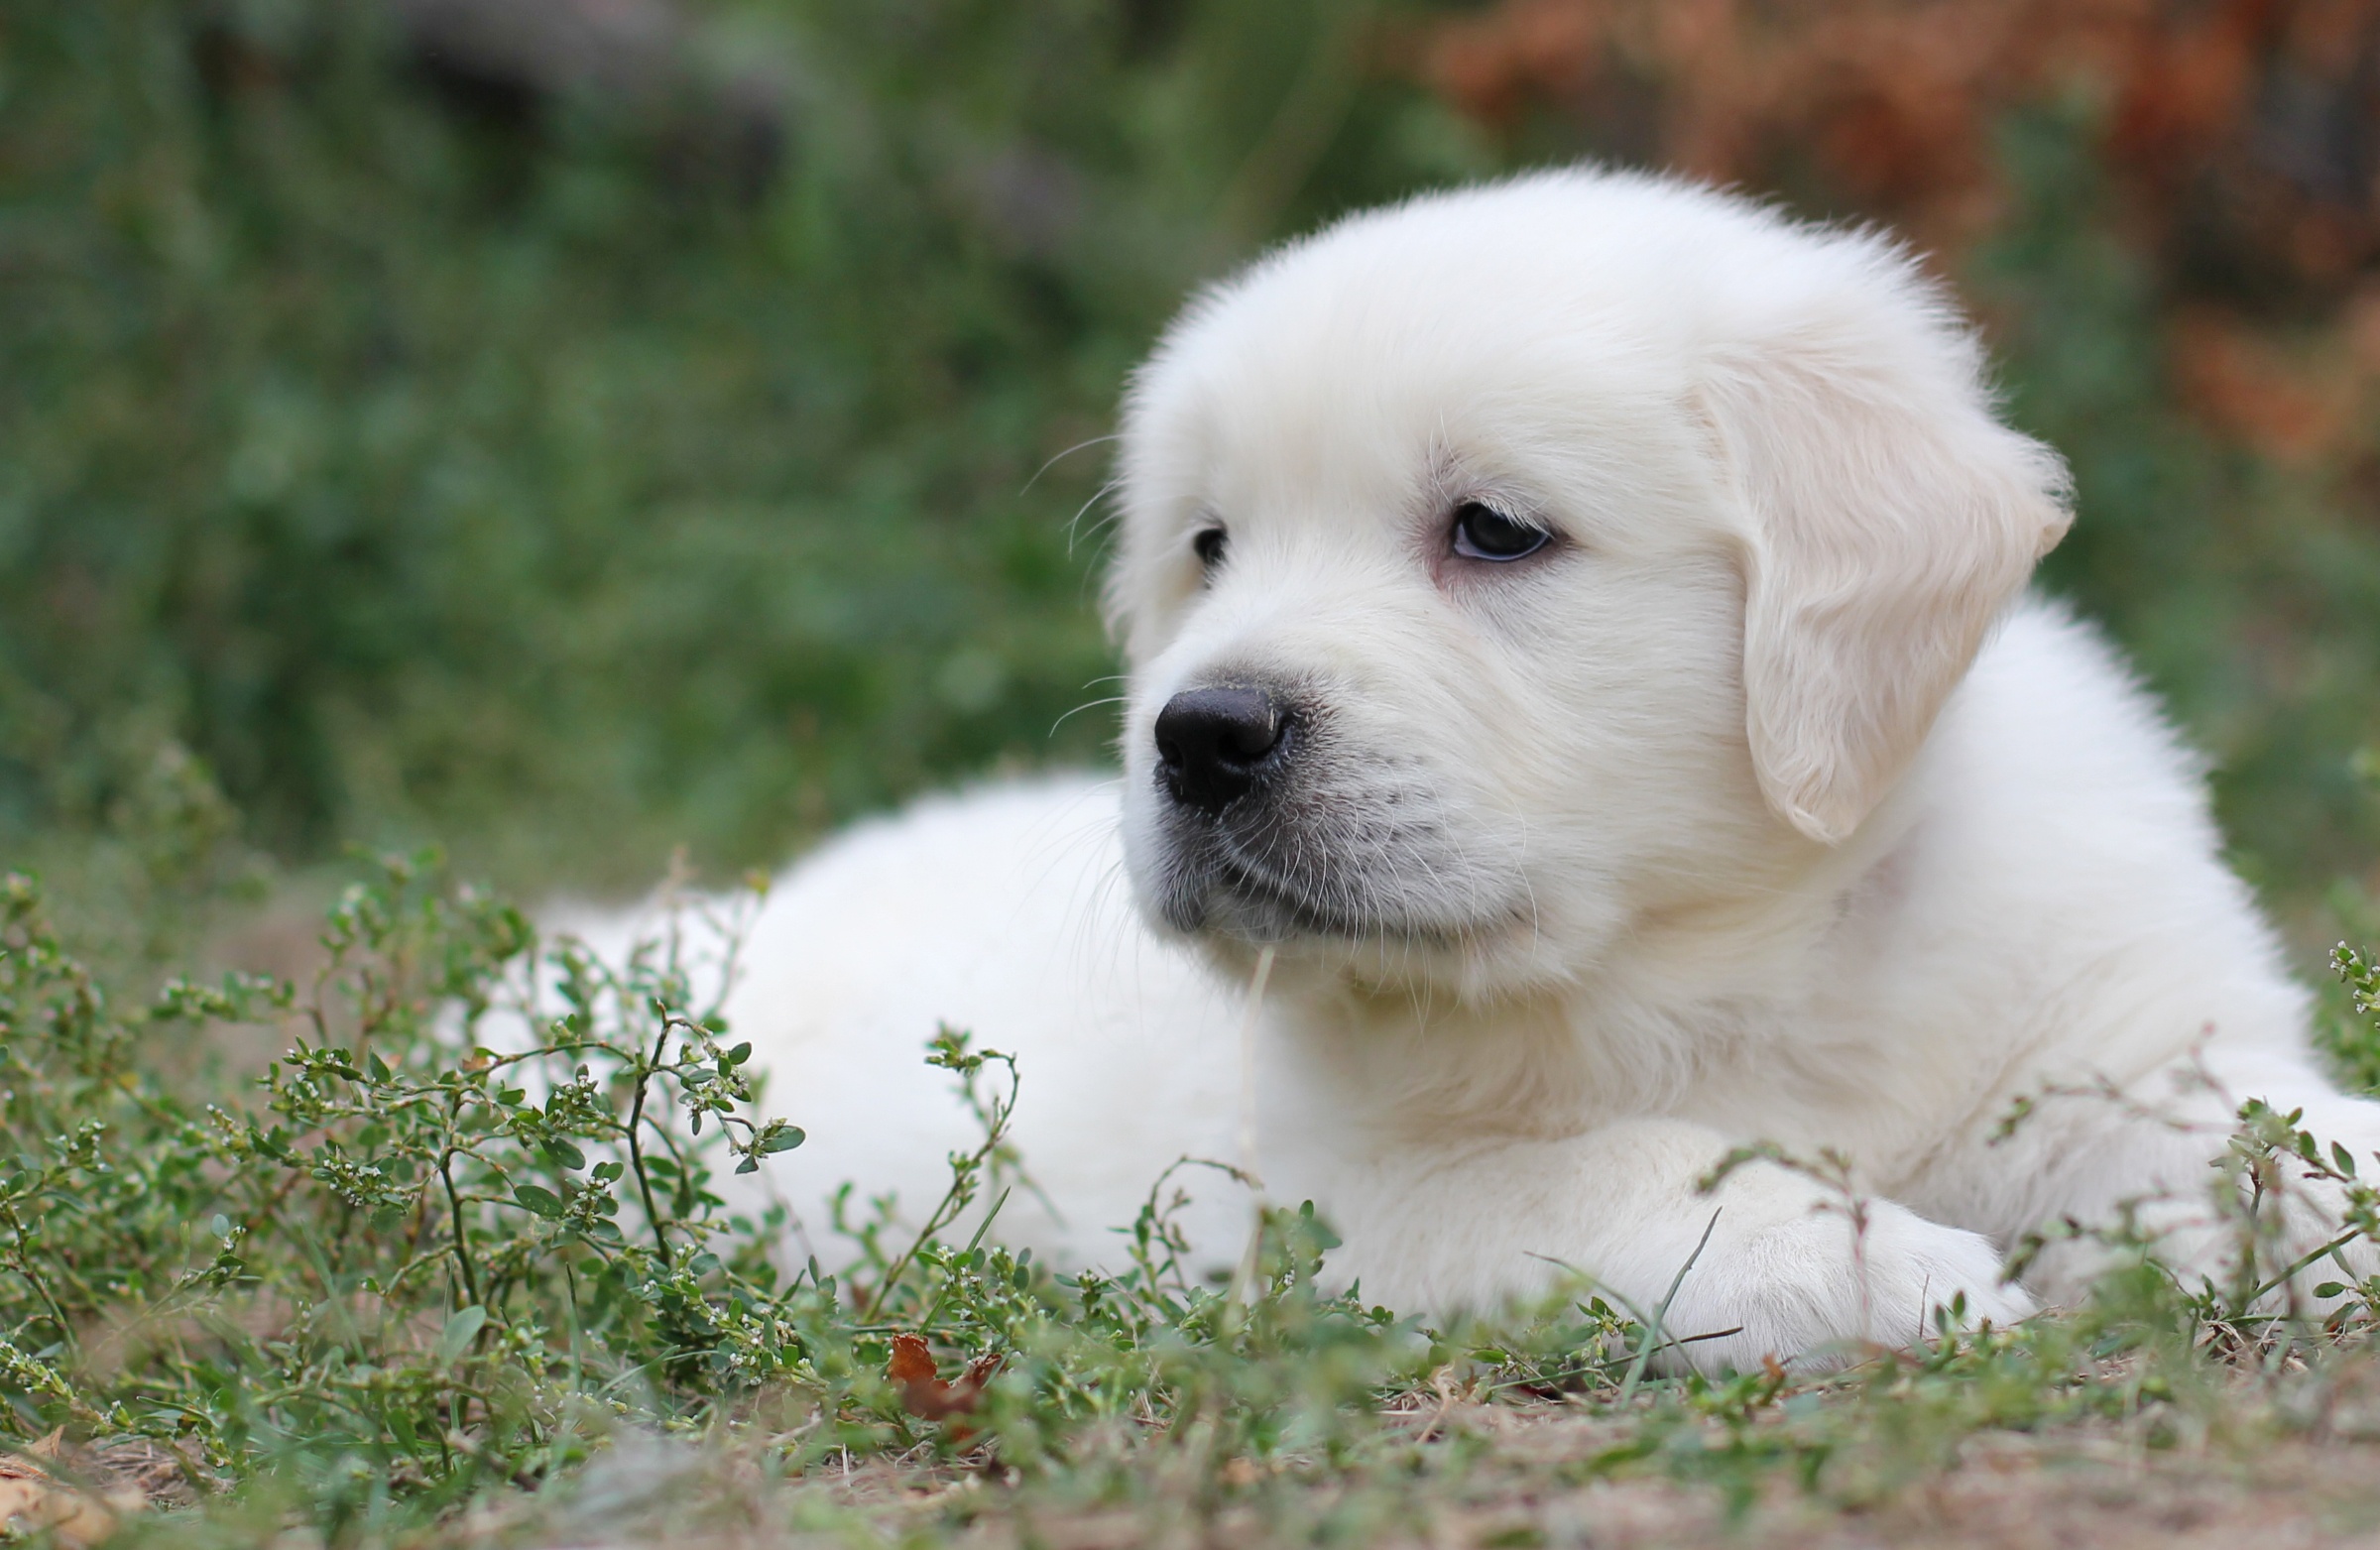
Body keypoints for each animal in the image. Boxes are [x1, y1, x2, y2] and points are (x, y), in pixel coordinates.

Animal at [680, 173, 2370, 1371]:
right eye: (1209, 547)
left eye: (1493, 529)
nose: (1200, 731)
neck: (1738, 951)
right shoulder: (1332, 1192)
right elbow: (1604, 1174)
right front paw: (1863, 1257)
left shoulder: (2119, 1035)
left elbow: (2266, 1132)